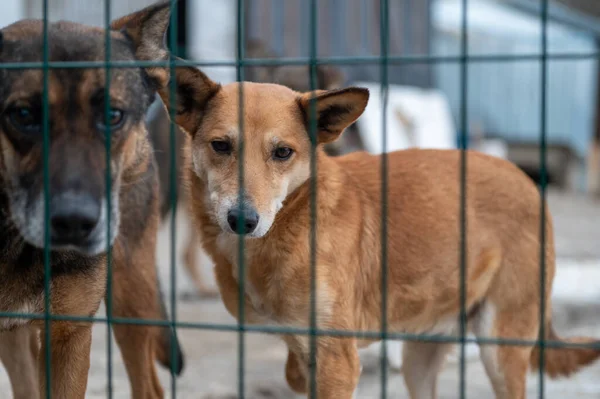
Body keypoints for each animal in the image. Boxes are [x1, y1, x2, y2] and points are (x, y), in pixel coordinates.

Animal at [148, 36, 600, 396]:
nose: (243, 220)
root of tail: (527, 182)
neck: (297, 218)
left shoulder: (338, 361)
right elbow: (294, 371)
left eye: (282, 152)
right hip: (421, 356)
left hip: (500, 349)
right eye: (221, 146)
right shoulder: (305, 353)